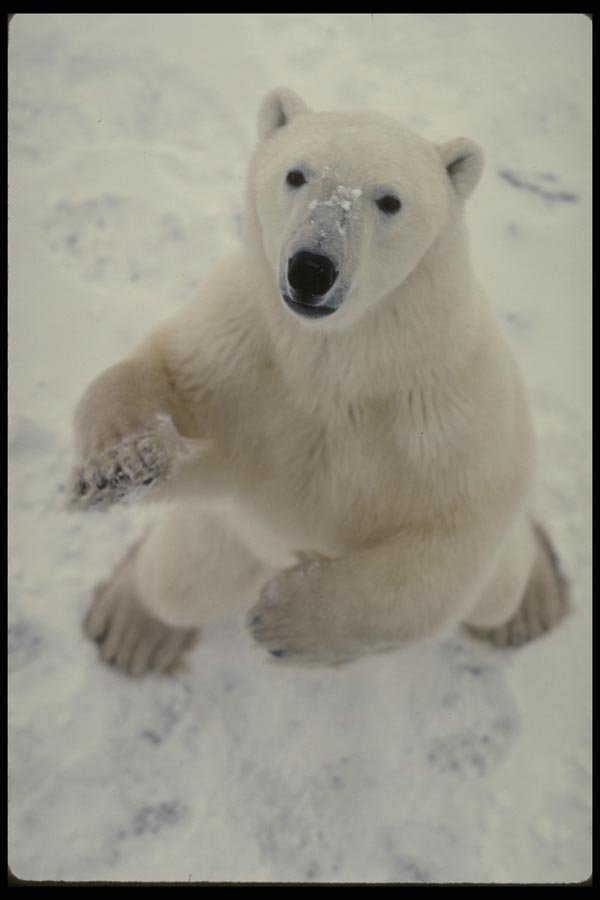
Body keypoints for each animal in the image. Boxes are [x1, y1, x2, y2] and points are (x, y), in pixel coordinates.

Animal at [68, 87, 569, 675]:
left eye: (389, 200)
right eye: (296, 174)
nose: (311, 268)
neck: (338, 360)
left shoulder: (446, 408)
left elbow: (447, 540)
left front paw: (284, 621)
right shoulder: (246, 355)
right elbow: (171, 382)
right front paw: (120, 464)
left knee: (499, 588)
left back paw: (532, 604)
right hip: (226, 539)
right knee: (179, 581)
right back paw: (130, 628)